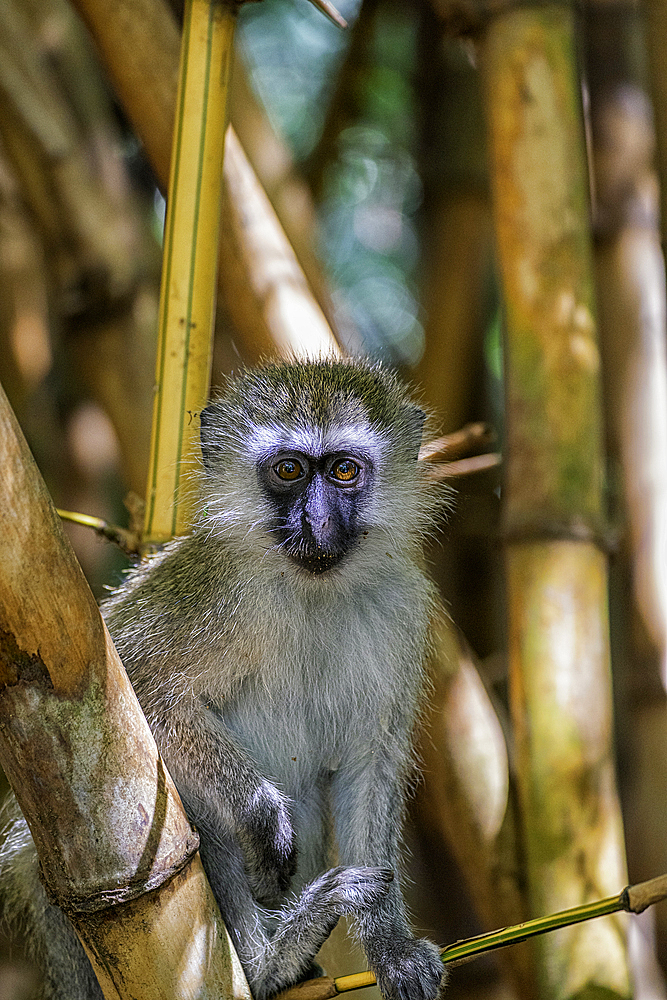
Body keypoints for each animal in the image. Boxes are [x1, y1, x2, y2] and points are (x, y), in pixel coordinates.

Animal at [2, 358, 448, 1000]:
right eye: (288, 470)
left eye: (344, 470)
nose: (316, 522)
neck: (310, 588)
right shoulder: (215, 591)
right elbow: (128, 701)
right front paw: (263, 817)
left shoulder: (404, 610)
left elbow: (369, 764)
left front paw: (391, 947)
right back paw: (271, 962)